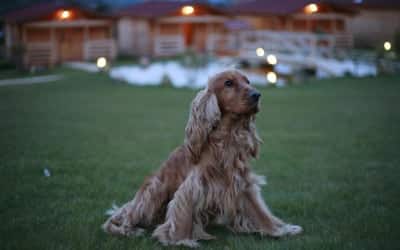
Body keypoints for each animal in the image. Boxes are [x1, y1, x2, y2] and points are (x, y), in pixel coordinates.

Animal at [101, 69, 302, 247]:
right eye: (228, 83)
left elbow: (260, 212)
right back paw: (129, 230)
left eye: (248, 81)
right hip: (152, 193)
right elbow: (183, 215)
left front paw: (280, 230)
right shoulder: (193, 186)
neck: (227, 140)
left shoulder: (243, 184)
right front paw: (180, 240)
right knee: (121, 219)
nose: (257, 95)